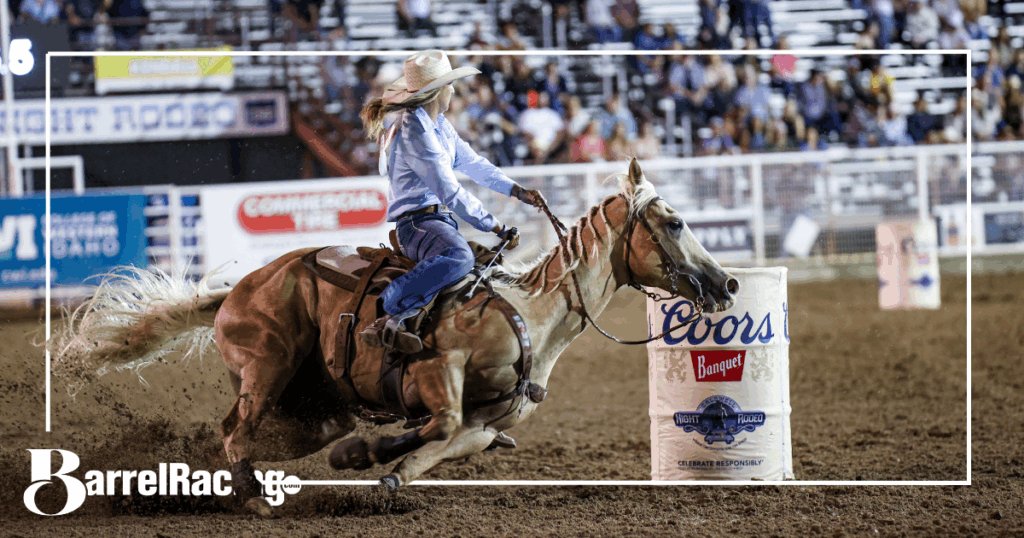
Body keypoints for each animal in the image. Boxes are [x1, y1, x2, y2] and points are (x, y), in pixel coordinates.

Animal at [53, 158, 738, 514]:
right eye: (674, 223)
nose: (727, 283)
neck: (529, 314)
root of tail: (234, 293)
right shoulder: (438, 368)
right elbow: (438, 422)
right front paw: (371, 456)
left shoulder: (486, 421)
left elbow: (446, 444)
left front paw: (375, 466)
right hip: (266, 368)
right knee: (234, 431)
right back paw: (251, 494)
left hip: (315, 399)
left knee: (290, 434)